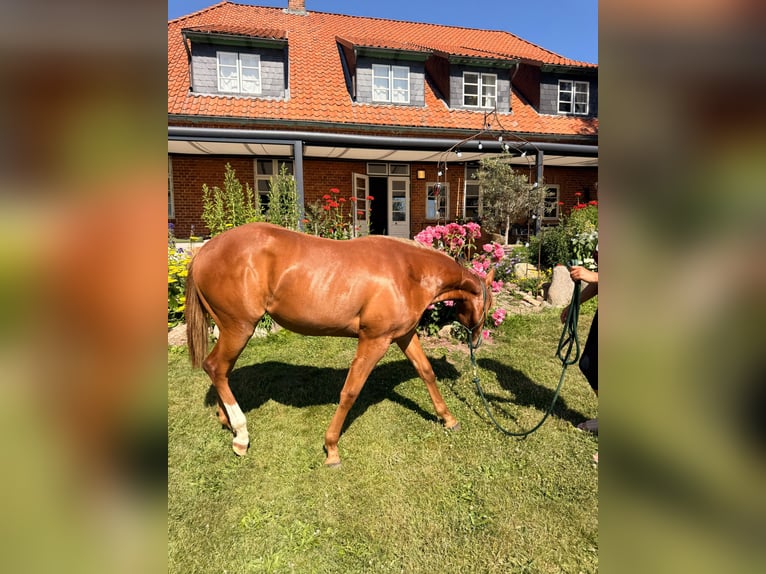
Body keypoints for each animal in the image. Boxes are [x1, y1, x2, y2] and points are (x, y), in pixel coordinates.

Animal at [185, 222, 494, 466]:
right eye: (489, 305)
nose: (477, 341)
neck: (408, 272)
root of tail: (204, 251)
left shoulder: (404, 335)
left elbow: (426, 372)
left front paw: (448, 418)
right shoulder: (374, 341)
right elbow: (351, 391)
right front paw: (332, 448)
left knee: (220, 371)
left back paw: (226, 420)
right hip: (239, 328)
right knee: (215, 367)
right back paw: (241, 434)